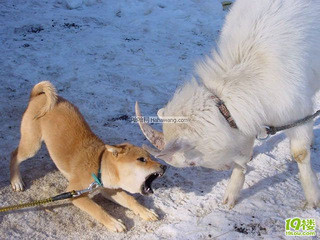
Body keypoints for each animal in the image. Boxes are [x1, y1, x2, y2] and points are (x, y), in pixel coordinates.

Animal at [10, 81, 165, 232]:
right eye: (142, 159)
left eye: (150, 157)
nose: (164, 167)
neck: (99, 165)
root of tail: (38, 96)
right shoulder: (75, 194)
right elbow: (97, 209)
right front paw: (113, 222)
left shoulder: (109, 190)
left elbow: (130, 199)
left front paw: (145, 211)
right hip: (32, 145)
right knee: (14, 155)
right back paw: (16, 181)